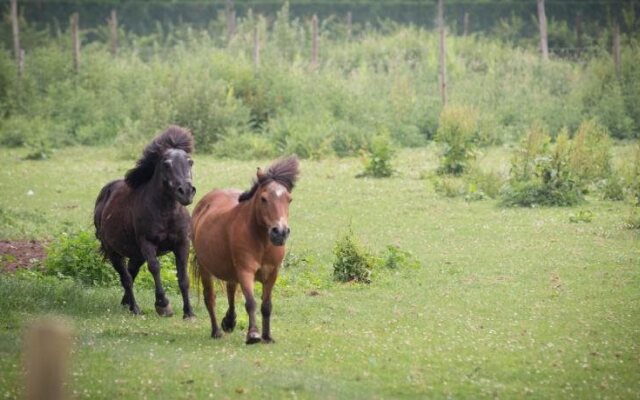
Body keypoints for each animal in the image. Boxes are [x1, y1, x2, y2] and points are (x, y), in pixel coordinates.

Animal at [94, 126, 195, 318]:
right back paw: (135, 308)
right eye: (166, 164)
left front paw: (189, 313)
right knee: (126, 278)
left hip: (136, 254)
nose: (186, 191)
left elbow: (184, 277)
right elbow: (155, 267)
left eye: (190, 162)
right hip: (114, 252)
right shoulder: (147, 243)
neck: (166, 212)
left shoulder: (182, 243)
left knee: (131, 273)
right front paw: (163, 305)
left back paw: (126, 303)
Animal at [191, 156, 298, 344]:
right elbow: (251, 302)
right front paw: (253, 334)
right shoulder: (245, 270)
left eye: (289, 199)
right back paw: (216, 331)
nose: (280, 232)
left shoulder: (272, 273)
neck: (262, 242)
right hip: (205, 268)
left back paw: (229, 321)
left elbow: (266, 305)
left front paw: (267, 336)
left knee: (230, 290)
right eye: (263, 199)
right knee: (210, 297)